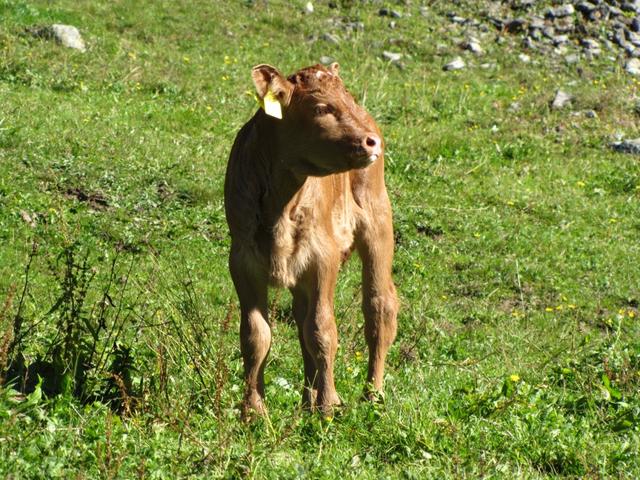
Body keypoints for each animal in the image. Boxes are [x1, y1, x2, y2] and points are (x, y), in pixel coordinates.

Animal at [222, 62, 398, 416]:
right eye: (320, 108)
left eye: (348, 99)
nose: (370, 143)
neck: (280, 202)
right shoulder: (243, 263)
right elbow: (255, 336)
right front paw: (253, 411)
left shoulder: (322, 257)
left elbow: (322, 331)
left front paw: (329, 405)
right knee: (301, 315)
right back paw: (307, 401)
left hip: (377, 220)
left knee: (379, 306)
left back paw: (372, 394)